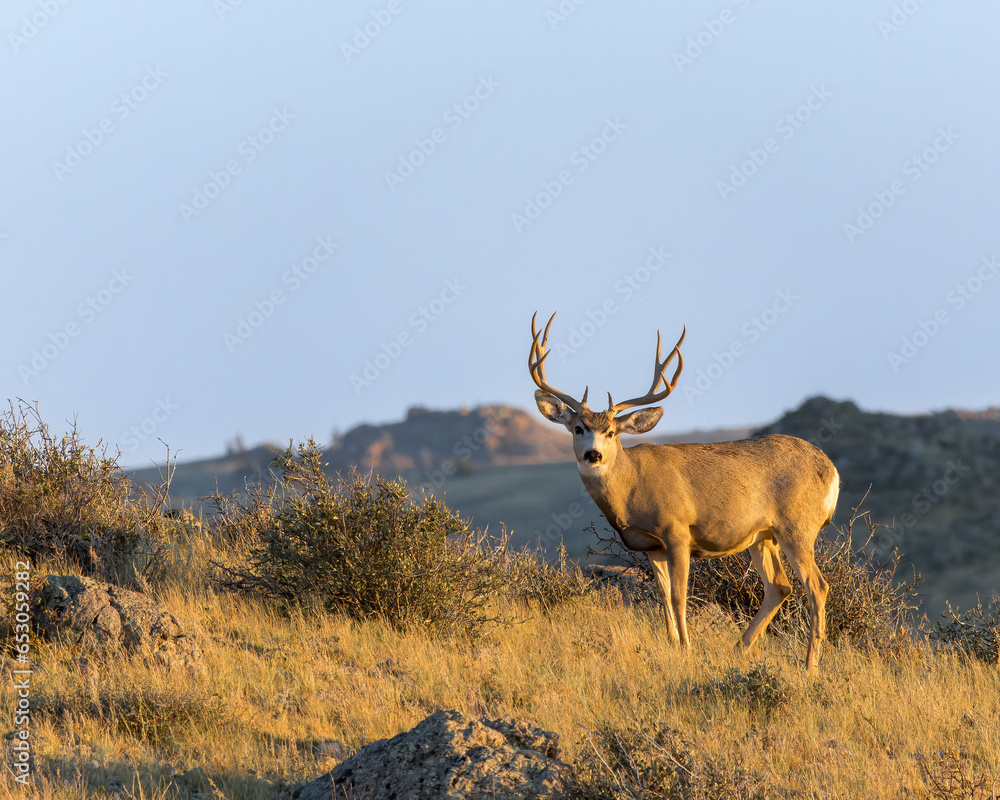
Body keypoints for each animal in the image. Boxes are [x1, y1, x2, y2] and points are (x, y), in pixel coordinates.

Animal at [528, 312, 839, 671]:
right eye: (578, 428)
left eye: (611, 432)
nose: (593, 455)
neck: (631, 488)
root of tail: (830, 468)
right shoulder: (651, 546)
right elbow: (662, 596)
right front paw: (673, 644)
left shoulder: (677, 530)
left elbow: (679, 596)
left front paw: (687, 648)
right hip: (763, 536)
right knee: (780, 586)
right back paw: (739, 650)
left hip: (797, 526)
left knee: (817, 586)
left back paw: (809, 666)